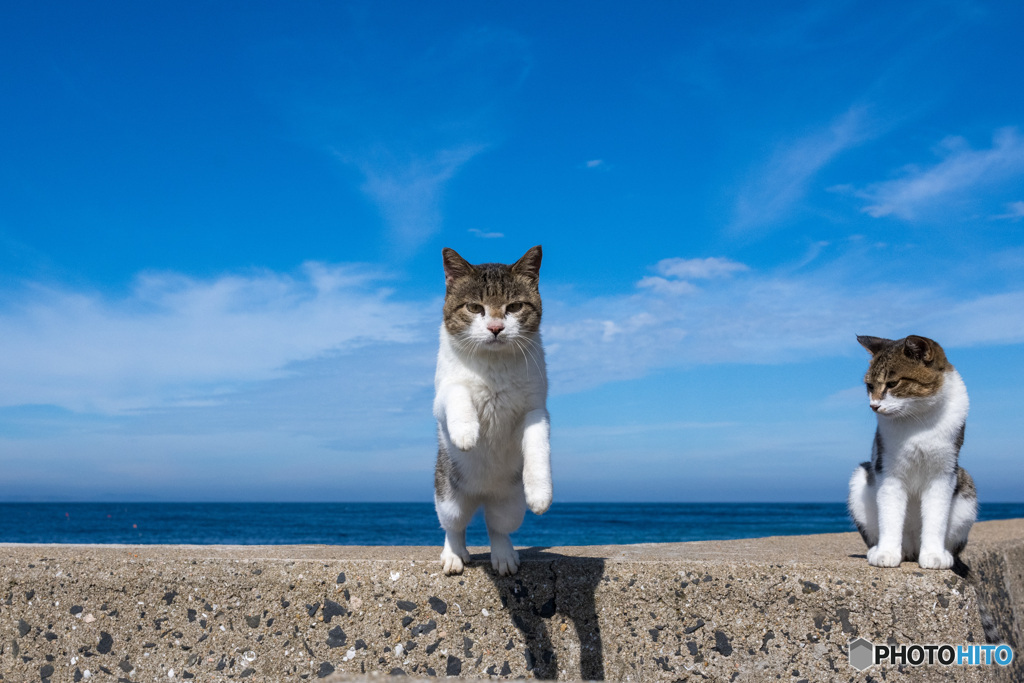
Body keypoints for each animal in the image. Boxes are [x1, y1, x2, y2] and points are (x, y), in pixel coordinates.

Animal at [436, 245, 557, 577]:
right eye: (474, 307)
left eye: (514, 307)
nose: (495, 328)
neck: (494, 364)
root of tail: (481, 496)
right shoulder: (441, 396)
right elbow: (457, 391)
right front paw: (466, 432)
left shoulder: (536, 409)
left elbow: (538, 442)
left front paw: (540, 491)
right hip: (448, 496)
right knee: (454, 526)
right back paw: (454, 554)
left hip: (509, 504)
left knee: (497, 527)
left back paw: (503, 555)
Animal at [843, 333, 978, 569]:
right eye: (869, 386)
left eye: (892, 383)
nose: (874, 406)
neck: (918, 420)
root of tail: (914, 549)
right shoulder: (889, 471)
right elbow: (890, 514)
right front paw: (886, 552)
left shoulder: (943, 474)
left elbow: (936, 517)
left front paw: (934, 555)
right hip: (860, 477)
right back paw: (886, 550)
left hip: (966, 486)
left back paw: (944, 554)